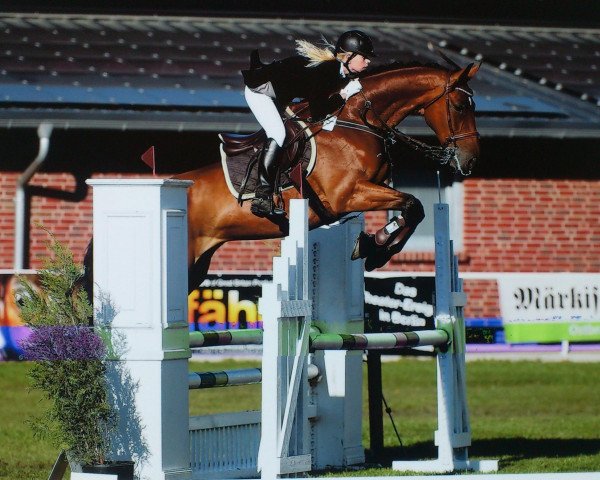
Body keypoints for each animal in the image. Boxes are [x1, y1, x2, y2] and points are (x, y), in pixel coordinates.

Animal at [175, 62, 482, 290]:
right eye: (460, 106)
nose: (471, 159)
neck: (356, 120)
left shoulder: (373, 187)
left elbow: (412, 210)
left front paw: (376, 250)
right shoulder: (347, 195)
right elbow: (413, 204)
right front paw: (377, 245)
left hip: (197, 267)